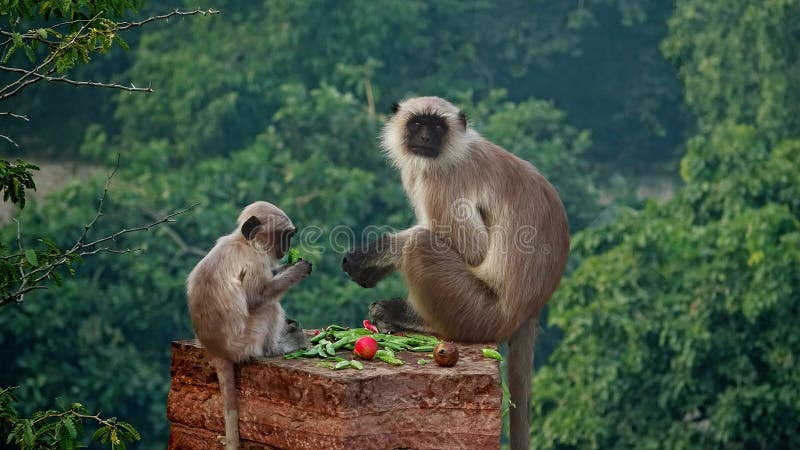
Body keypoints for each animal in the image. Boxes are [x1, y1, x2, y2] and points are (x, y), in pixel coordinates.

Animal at [188, 202, 312, 450]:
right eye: (285, 236)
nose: (287, 248)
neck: (243, 242)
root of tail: (216, 350)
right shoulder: (254, 261)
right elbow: (257, 298)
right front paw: (298, 269)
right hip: (245, 341)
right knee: (268, 307)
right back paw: (278, 348)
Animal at [342, 96, 568, 450]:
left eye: (437, 126)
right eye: (418, 123)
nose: (425, 138)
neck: (452, 152)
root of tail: (528, 310)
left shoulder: (442, 182)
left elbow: (473, 250)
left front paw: (372, 257)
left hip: (478, 311)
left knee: (420, 245)